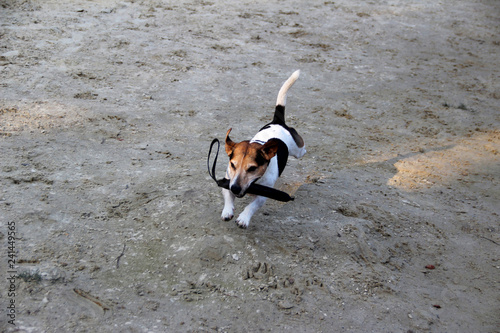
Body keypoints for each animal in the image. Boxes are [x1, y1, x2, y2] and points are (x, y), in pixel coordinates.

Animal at [222, 68, 304, 227]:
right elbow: (227, 196)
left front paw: (244, 218)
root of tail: (277, 121)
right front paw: (227, 210)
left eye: (252, 168)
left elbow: (252, 206)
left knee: (302, 148)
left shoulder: (262, 196)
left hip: (298, 149)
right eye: (233, 165)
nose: (235, 188)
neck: (254, 183)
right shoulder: (228, 181)